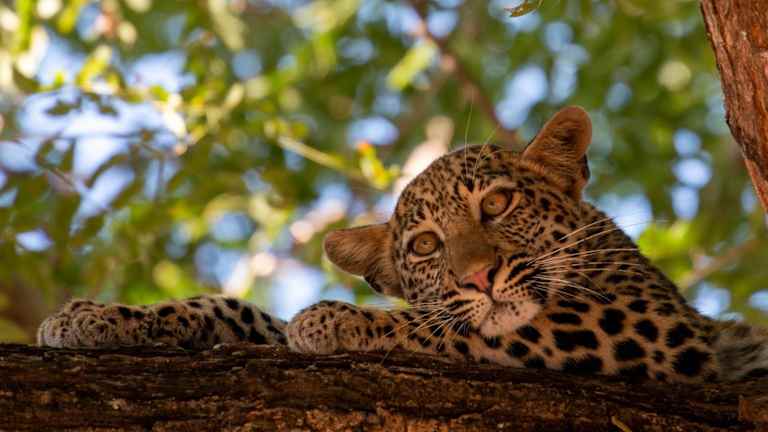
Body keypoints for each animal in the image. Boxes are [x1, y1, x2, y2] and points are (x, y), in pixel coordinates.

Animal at [37, 106, 768, 383]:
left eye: (496, 204)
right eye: (422, 246)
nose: (479, 278)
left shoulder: (661, 328)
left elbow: (452, 326)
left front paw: (333, 318)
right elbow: (241, 312)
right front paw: (94, 318)